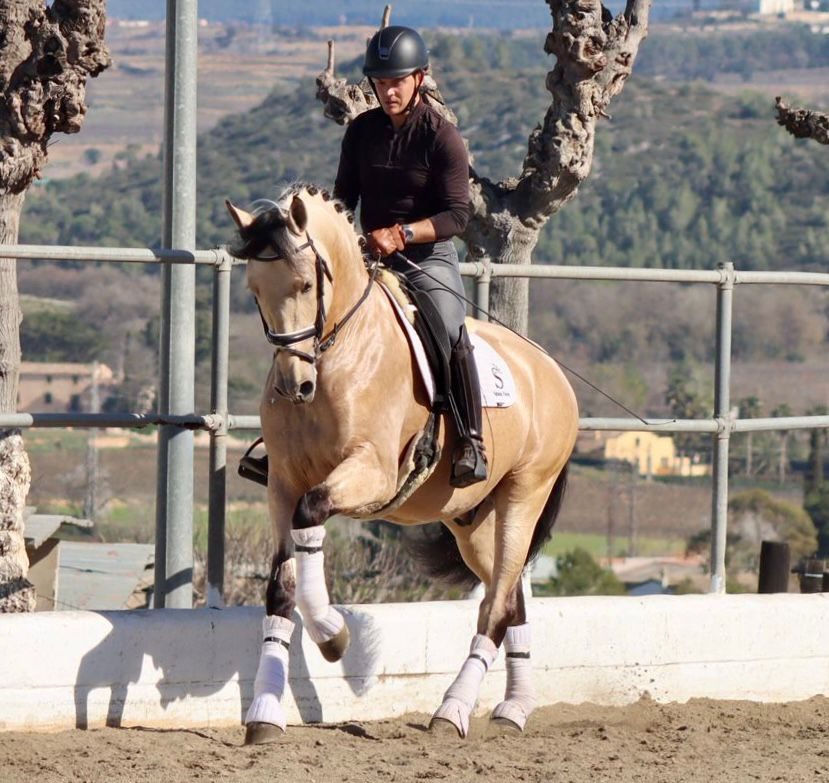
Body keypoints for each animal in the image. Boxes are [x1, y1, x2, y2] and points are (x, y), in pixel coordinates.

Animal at [226, 184, 578, 743]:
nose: (292, 387)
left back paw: (452, 712)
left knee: (496, 606)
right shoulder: (280, 483)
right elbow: (280, 592)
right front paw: (264, 714)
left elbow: (312, 512)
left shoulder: (370, 473)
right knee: (510, 598)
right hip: (473, 521)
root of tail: (549, 369)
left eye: (306, 284)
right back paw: (514, 709)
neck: (340, 352)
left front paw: (332, 635)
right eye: (255, 291)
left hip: (525, 494)